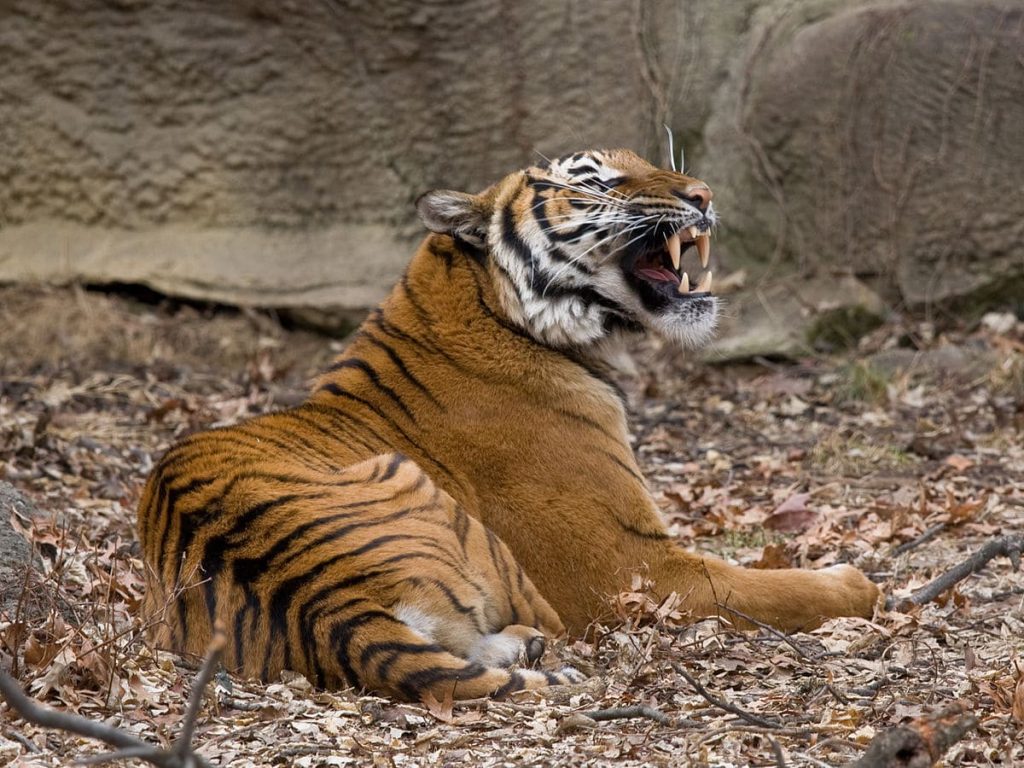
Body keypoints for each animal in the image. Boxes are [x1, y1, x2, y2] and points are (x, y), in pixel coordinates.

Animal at [134, 148, 880, 704]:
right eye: (597, 180)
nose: (702, 194)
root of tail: (327, 600)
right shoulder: (630, 564)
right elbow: (767, 586)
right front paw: (856, 583)